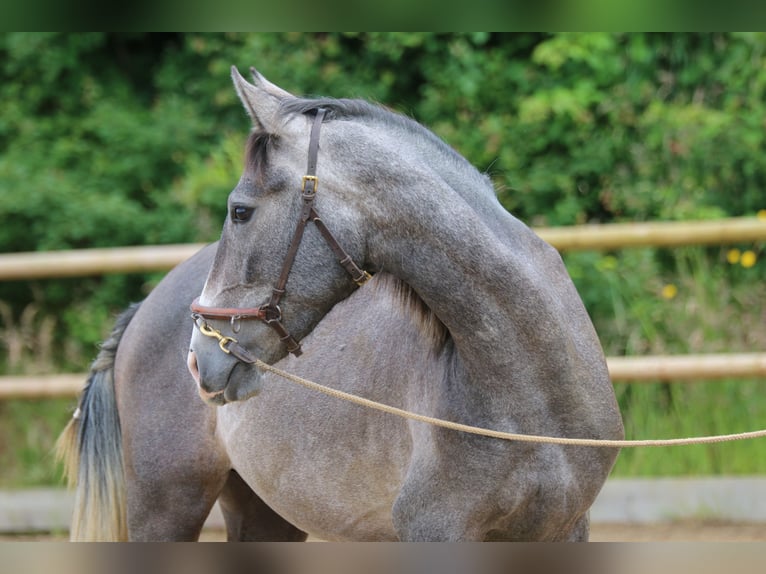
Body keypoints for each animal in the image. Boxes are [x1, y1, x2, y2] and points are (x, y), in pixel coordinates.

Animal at [60, 67, 624, 544]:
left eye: (240, 211)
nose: (199, 357)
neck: (531, 390)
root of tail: (142, 311)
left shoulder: (564, 529)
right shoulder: (436, 532)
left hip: (263, 514)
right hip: (166, 507)